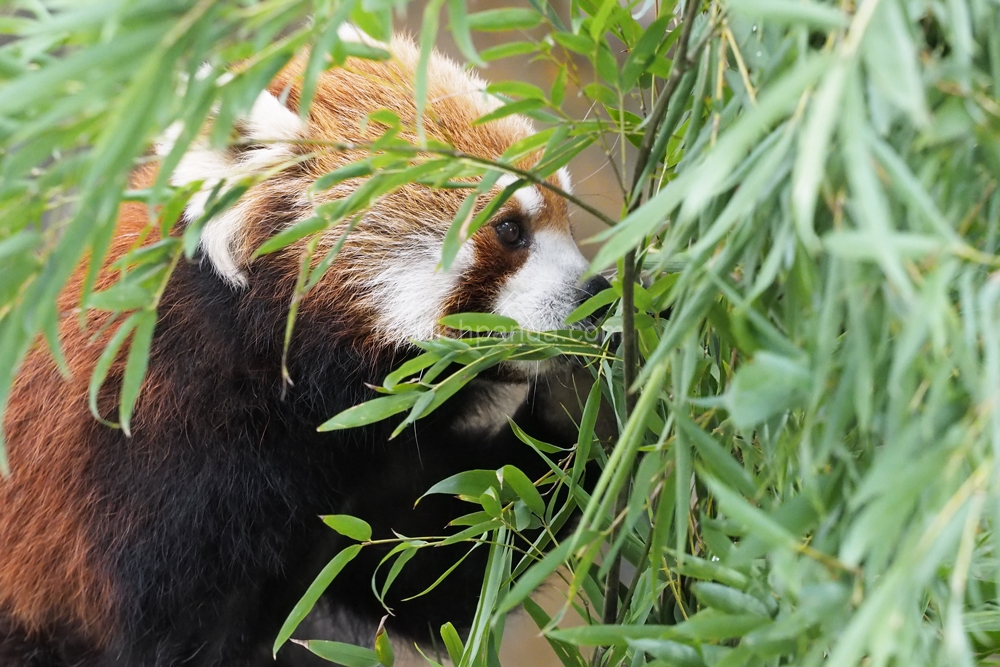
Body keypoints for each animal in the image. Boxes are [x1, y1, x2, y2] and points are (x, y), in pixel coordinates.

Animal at [0, 32, 608, 667]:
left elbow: (437, 549)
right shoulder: (142, 464)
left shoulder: (361, 469)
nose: (595, 294)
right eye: (511, 229)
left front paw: (583, 402)